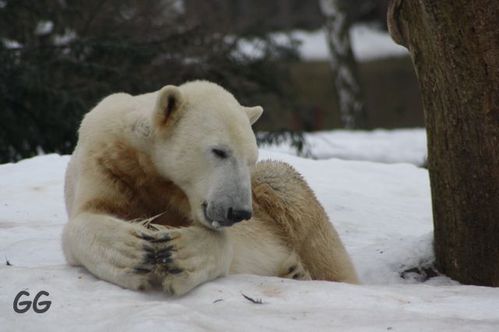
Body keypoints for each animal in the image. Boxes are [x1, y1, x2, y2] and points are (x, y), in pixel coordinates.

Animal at [62, 80, 360, 296]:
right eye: (219, 151)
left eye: (250, 158)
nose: (238, 212)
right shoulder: (105, 165)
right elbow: (86, 218)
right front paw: (133, 252)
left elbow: (224, 243)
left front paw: (178, 254)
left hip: (275, 194)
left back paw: (299, 272)